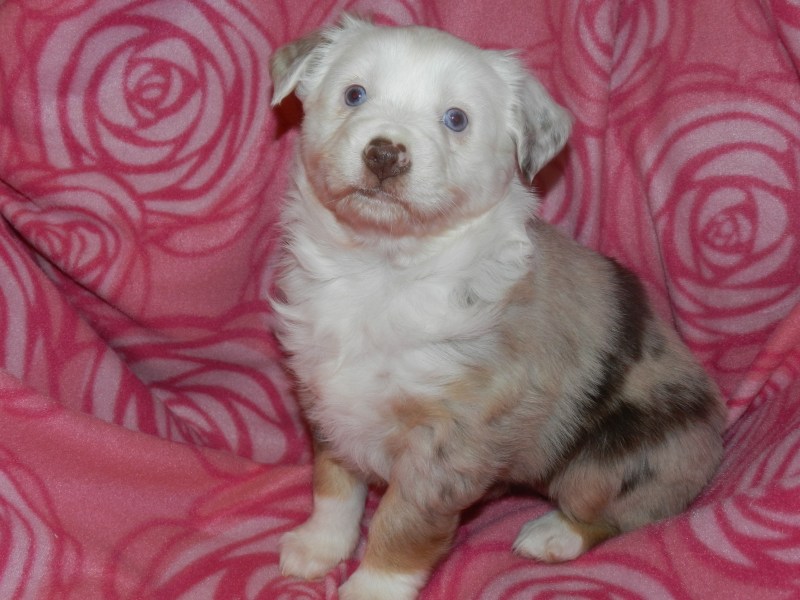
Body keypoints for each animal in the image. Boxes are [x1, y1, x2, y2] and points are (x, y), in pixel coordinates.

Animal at [269, 15, 726, 600]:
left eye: (456, 119)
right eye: (354, 94)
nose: (385, 154)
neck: (383, 267)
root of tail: (718, 429)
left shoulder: (448, 442)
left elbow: (400, 523)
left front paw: (371, 588)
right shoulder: (327, 398)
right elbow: (333, 483)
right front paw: (319, 547)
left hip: (613, 461)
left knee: (624, 510)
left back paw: (553, 534)